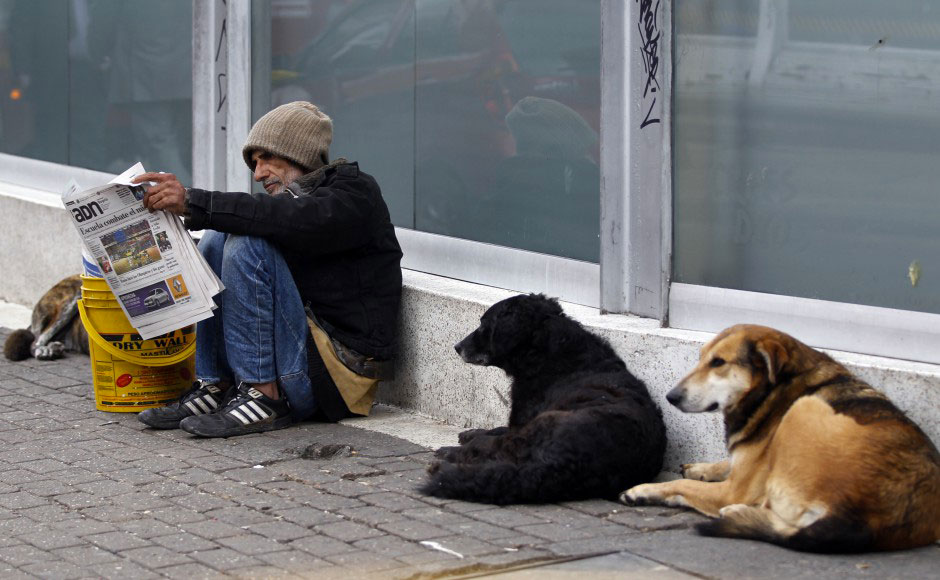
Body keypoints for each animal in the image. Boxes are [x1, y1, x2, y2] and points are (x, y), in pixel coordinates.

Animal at [418, 294, 668, 502]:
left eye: (483, 324)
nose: (457, 346)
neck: (547, 354)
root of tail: (568, 464)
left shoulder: (522, 421)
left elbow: (496, 432)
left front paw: (470, 437)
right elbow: (496, 427)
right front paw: (470, 432)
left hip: (538, 426)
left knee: (492, 451)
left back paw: (446, 457)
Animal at [620, 324, 936, 556]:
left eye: (719, 362)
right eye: (700, 358)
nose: (670, 397)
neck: (772, 389)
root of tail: (867, 520)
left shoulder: (735, 487)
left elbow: (682, 485)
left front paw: (644, 490)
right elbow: (727, 461)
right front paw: (702, 467)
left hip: (803, 409)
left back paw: (735, 511)